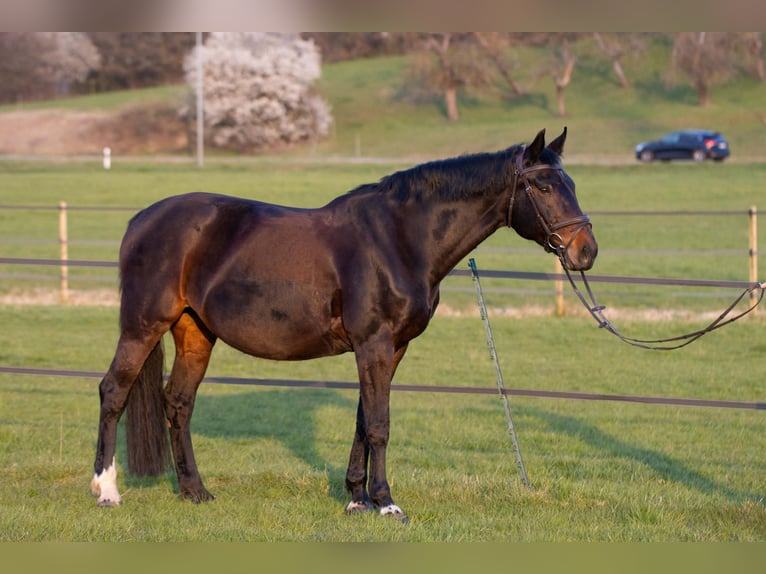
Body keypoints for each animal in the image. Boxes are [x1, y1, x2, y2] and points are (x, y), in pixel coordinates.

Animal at [91, 127, 597, 522]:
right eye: (544, 187)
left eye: (570, 182)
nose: (586, 251)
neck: (398, 238)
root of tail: (141, 221)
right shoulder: (374, 343)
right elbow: (379, 425)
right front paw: (387, 503)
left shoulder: (390, 347)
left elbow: (363, 419)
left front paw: (357, 499)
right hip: (142, 327)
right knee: (114, 392)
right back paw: (107, 490)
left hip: (195, 331)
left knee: (178, 403)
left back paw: (195, 491)